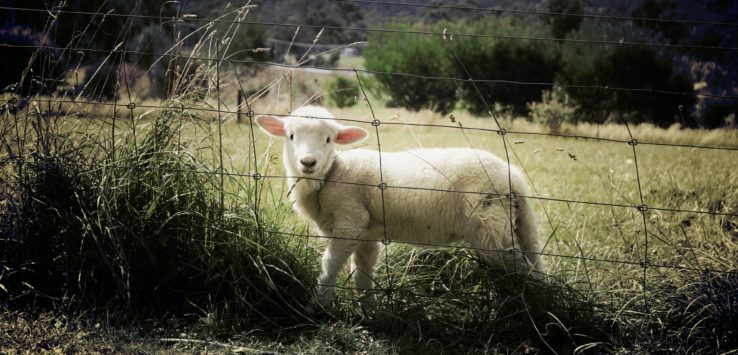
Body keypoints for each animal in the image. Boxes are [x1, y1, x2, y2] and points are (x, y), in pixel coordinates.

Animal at [256, 104, 544, 308]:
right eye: (291, 136)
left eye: (329, 139)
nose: (308, 162)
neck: (331, 175)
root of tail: (513, 178)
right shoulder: (366, 234)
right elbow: (362, 274)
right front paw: (369, 312)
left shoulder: (350, 223)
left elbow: (330, 266)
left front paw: (317, 306)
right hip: (516, 225)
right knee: (534, 262)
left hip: (489, 228)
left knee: (521, 267)